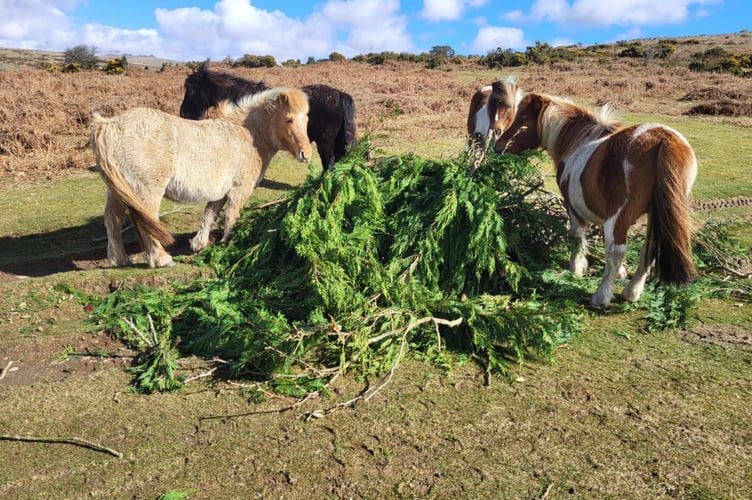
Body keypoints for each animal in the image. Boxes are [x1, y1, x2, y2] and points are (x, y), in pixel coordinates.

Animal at [92, 86, 312, 270]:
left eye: (307, 120)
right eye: (289, 119)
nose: (306, 154)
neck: (248, 135)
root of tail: (109, 124)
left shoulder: (220, 193)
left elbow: (209, 215)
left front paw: (200, 244)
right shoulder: (240, 189)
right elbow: (231, 216)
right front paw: (228, 243)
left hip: (118, 190)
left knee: (113, 219)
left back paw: (119, 260)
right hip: (148, 191)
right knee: (146, 221)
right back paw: (161, 259)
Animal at [494, 93, 700, 304]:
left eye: (522, 120)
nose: (498, 146)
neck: (578, 142)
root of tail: (663, 139)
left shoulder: (573, 207)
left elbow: (577, 236)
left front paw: (576, 268)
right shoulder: (604, 212)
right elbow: (602, 238)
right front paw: (620, 273)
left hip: (621, 215)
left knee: (617, 251)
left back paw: (601, 296)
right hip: (653, 215)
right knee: (648, 250)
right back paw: (631, 292)